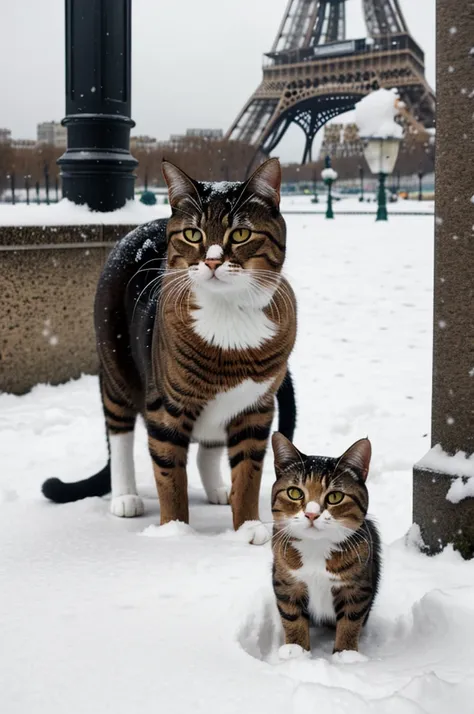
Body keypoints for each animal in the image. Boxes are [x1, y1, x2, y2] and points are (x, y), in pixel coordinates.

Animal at [42, 157, 298, 544]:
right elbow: (170, 476)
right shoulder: (166, 407)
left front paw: (248, 526)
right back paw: (125, 496)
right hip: (116, 368)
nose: (212, 262)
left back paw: (218, 489)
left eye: (240, 234)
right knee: (119, 432)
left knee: (208, 448)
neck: (228, 317)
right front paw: (176, 534)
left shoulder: (256, 409)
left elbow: (248, 473)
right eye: (193, 234)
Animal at [270, 428, 382, 656]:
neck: (316, 548)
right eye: (294, 492)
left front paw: (346, 655)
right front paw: (296, 653)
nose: (312, 514)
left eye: (335, 496)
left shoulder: (356, 589)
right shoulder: (286, 584)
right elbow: (292, 617)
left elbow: (350, 620)